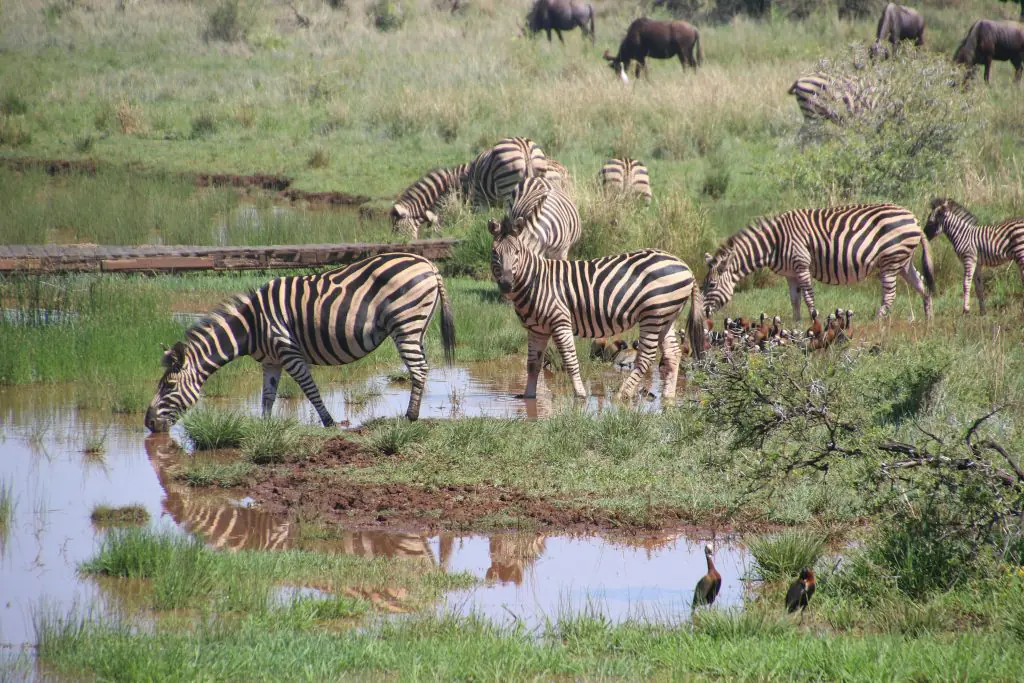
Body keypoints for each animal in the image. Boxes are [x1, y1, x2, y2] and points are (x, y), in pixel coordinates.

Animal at [144, 253, 456, 431]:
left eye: (168, 386)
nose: (148, 423)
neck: (252, 326)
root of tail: (428, 263)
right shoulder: (270, 361)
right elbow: (267, 395)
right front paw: (265, 427)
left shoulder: (288, 351)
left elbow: (310, 389)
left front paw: (329, 423)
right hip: (417, 326)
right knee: (422, 366)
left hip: (406, 322)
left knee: (418, 369)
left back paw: (410, 417)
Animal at [488, 219, 704, 402]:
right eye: (494, 253)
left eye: (517, 252)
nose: (506, 285)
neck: (535, 281)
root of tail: (686, 267)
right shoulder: (536, 329)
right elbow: (532, 364)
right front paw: (528, 397)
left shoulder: (560, 321)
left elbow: (569, 359)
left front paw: (580, 394)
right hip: (666, 316)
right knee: (673, 354)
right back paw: (668, 397)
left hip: (653, 315)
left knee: (646, 357)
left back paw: (623, 394)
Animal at [701, 204, 935, 322]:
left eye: (711, 285)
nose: (702, 315)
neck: (774, 242)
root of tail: (914, 219)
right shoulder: (790, 274)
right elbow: (794, 300)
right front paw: (796, 323)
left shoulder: (802, 265)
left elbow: (808, 296)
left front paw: (815, 319)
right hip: (903, 261)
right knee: (922, 284)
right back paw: (928, 320)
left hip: (891, 260)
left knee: (890, 294)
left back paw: (876, 320)